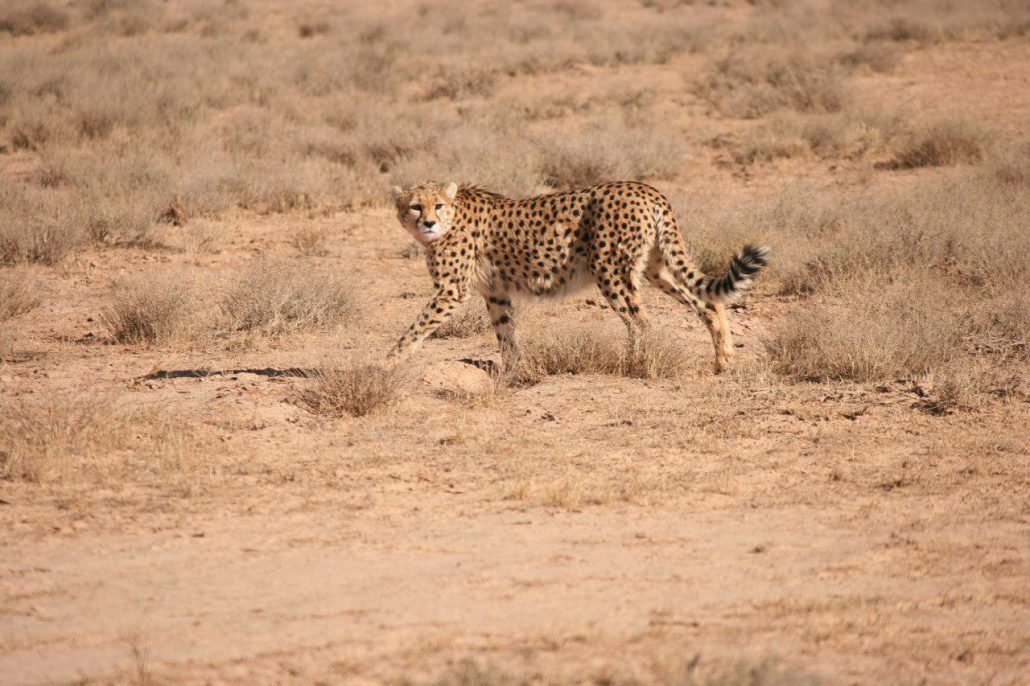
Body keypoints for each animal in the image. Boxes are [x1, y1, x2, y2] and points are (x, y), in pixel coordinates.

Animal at [389, 180, 770, 374]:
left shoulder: (451, 291)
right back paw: (723, 360)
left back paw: (636, 365)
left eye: (437, 205)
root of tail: (645, 188)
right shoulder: (495, 291)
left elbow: (415, 329)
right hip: (654, 268)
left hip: (610, 271)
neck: (451, 218)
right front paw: (513, 373)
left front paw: (387, 362)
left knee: (641, 323)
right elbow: (505, 334)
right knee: (707, 303)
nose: (428, 223)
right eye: (415, 206)